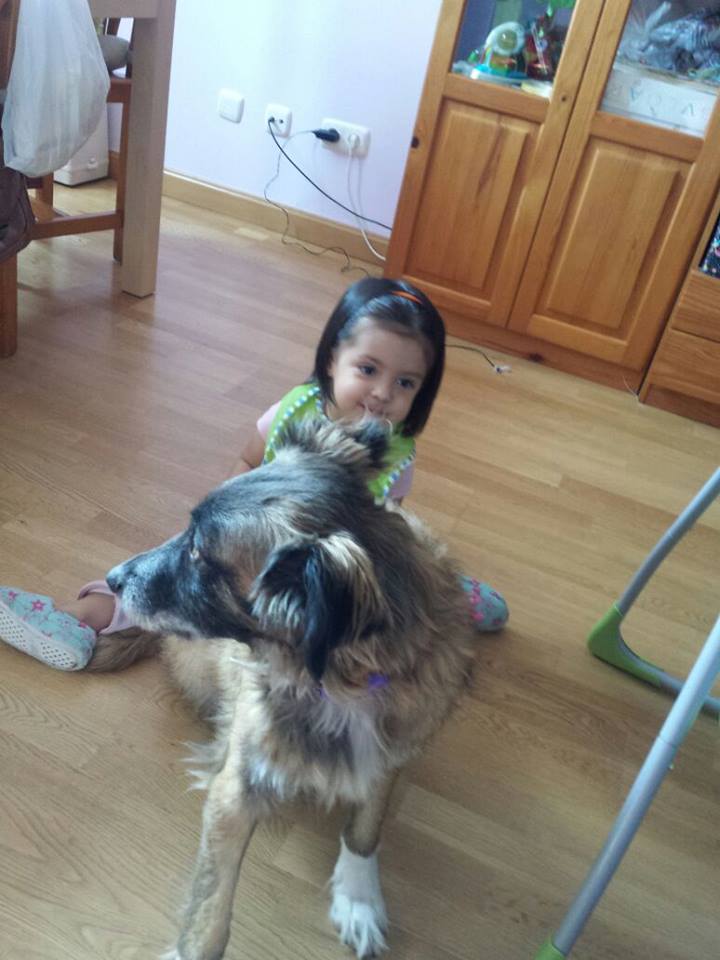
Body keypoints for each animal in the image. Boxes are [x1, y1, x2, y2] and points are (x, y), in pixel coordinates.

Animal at [94, 418, 478, 960]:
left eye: (198, 552)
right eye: (187, 533)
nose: (112, 579)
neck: (339, 684)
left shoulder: (389, 755)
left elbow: (365, 829)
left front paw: (359, 900)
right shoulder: (235, 791)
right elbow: (209, 913)